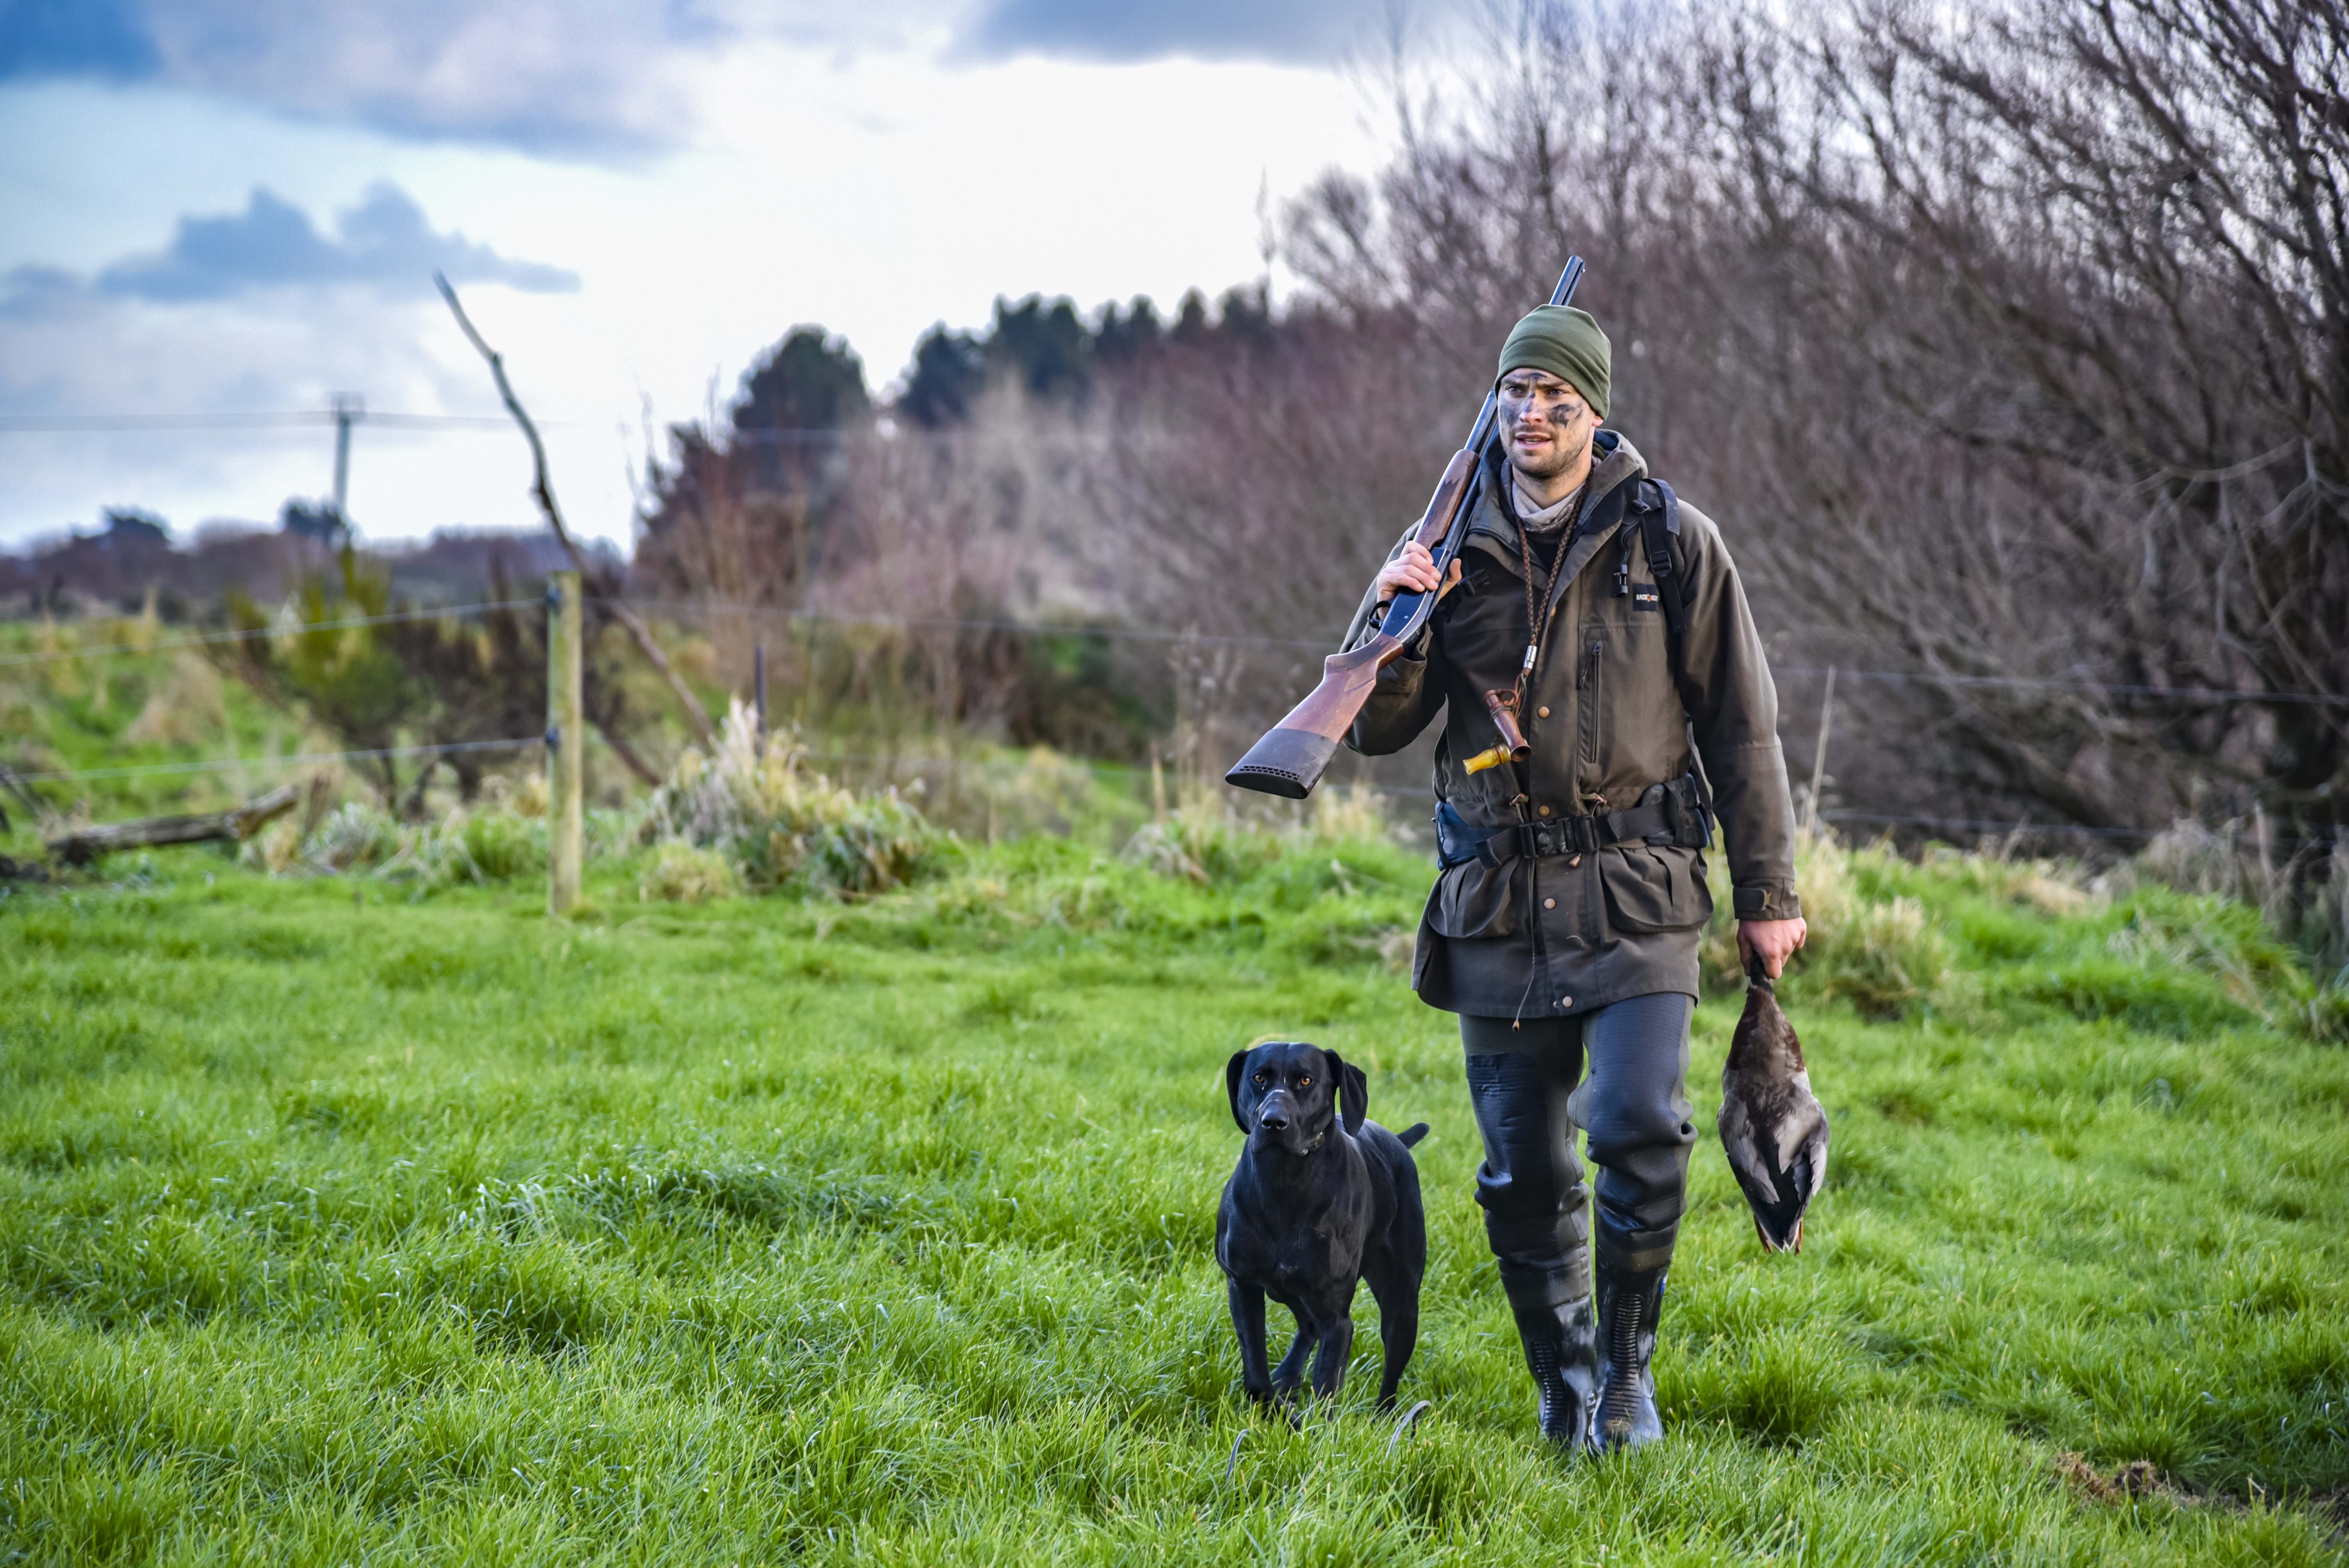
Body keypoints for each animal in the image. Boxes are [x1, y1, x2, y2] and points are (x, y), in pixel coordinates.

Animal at [1221, 1042, 1419, 1408]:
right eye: (1258, 1078)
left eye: (1306, 1080)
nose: (1274, 1122)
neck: (1283, 1182)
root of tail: (1397, 1140)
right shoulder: (1242, 1287)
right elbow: (1257, 1378)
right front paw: (1280, 1407)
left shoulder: (1337, 1319)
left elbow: (1326, 1389)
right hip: (1294, 1293)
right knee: (1306, 1328)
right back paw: (1287, 1376)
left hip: (1402, 1303)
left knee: (1391, 1376)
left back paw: (1383, 1414)